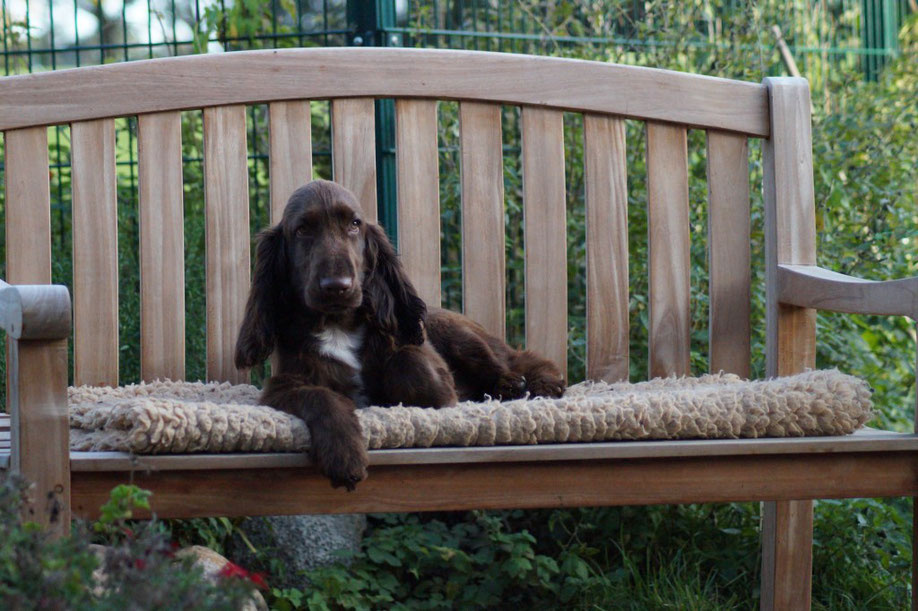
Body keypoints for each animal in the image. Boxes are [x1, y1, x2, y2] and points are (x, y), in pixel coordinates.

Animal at [235, 179, 568, 490]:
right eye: (302, 230)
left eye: (354, 224)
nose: (337, 287)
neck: (337, 324)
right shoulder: (281, 385)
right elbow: (319, 395)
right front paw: (345, 455)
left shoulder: (427, 360)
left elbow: (410, 364)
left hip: (460, 336)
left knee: (517, 360)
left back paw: (530, 383)